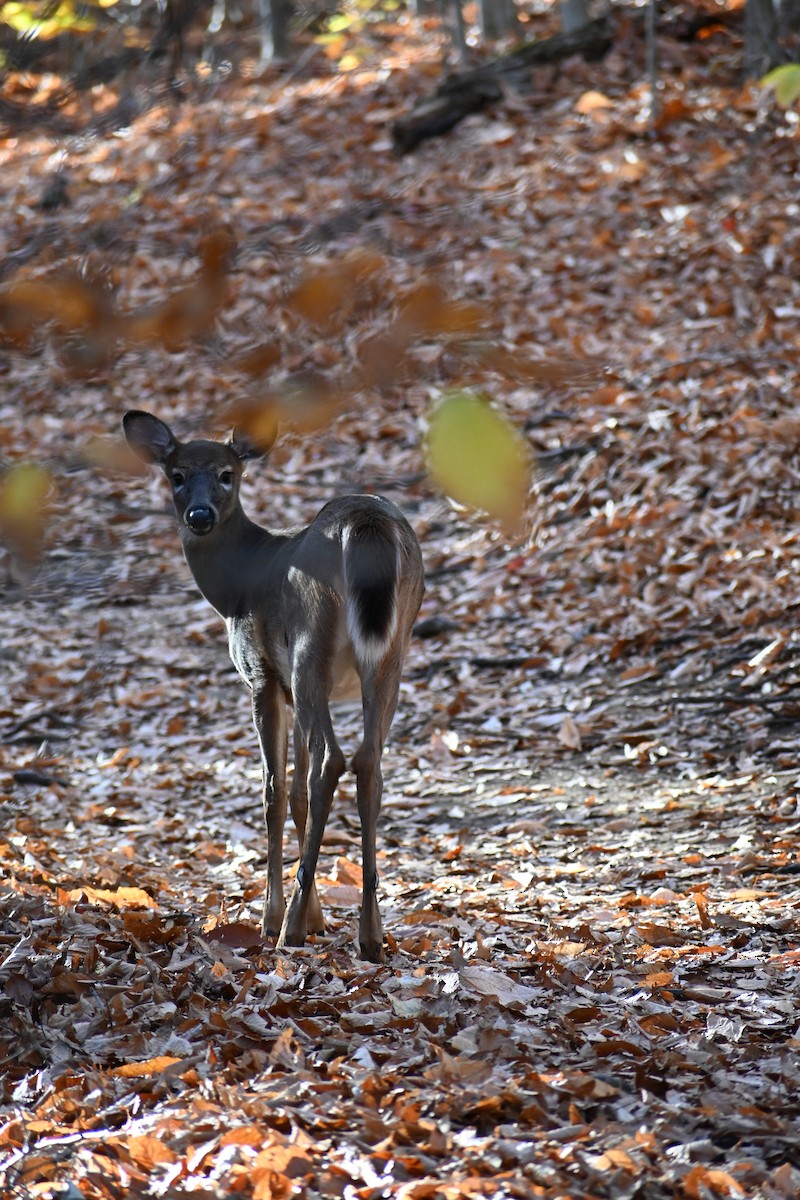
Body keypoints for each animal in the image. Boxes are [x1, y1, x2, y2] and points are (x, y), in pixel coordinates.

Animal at [123, 410, 424, 962]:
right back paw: (370, 934)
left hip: (310, 643)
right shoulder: (288, 691)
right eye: (176, 475)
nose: (199, 514)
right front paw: (319, 915)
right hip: (392, 650)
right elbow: (299, 792)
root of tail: (365, 524)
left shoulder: (262, 677)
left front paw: (276, 915)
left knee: (331, 759)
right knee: (369, 761)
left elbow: (275, 790)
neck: (236, 586)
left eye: (227, 474)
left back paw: (292, 930)